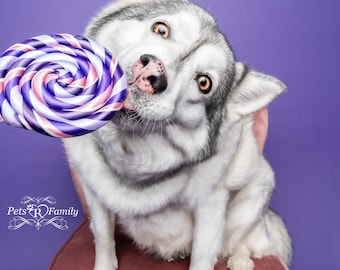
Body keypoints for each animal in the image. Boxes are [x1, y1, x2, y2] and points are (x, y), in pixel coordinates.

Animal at [63, 0, 292, 270]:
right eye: (161, 29)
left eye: (204, 83)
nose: (151, 72)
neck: (129, 159)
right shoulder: (94, 196)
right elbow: (103, 237)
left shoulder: (210, 207)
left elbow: (203, 255)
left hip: (257, 192)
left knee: (245, 242)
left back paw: (240, 260)